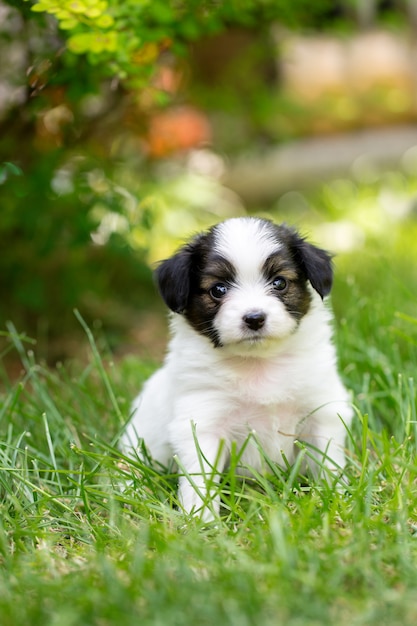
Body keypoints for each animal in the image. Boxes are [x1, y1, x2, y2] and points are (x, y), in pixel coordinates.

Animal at [122, 217, 352, 520]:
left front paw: (335, 499)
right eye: (218, 289)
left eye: (279, 282)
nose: (254, 318)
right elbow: (200, 478)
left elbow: (328, 462)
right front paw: (200, 519)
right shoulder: (202, 421)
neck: (258, 363)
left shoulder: (321, 409)